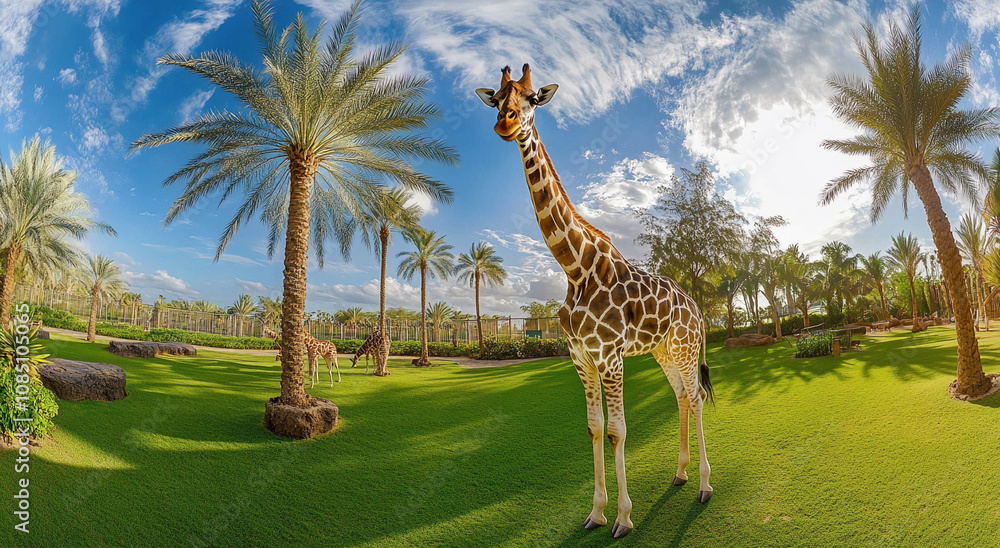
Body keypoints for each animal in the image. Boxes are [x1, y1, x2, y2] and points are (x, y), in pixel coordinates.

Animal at [476, 64, 715, 539]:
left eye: (532, 99)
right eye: (496, 98)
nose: (505, 124)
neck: (575, 268)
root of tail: (698, 309)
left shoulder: (611, 357)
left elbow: (618, 430)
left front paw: (622, 518)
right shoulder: (582, 358)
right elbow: (593, 428)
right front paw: (596, 512)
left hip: (685, 348)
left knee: (696, 396)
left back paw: (703, 484)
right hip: (663, 351)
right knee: (682, 395)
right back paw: (679, 474)